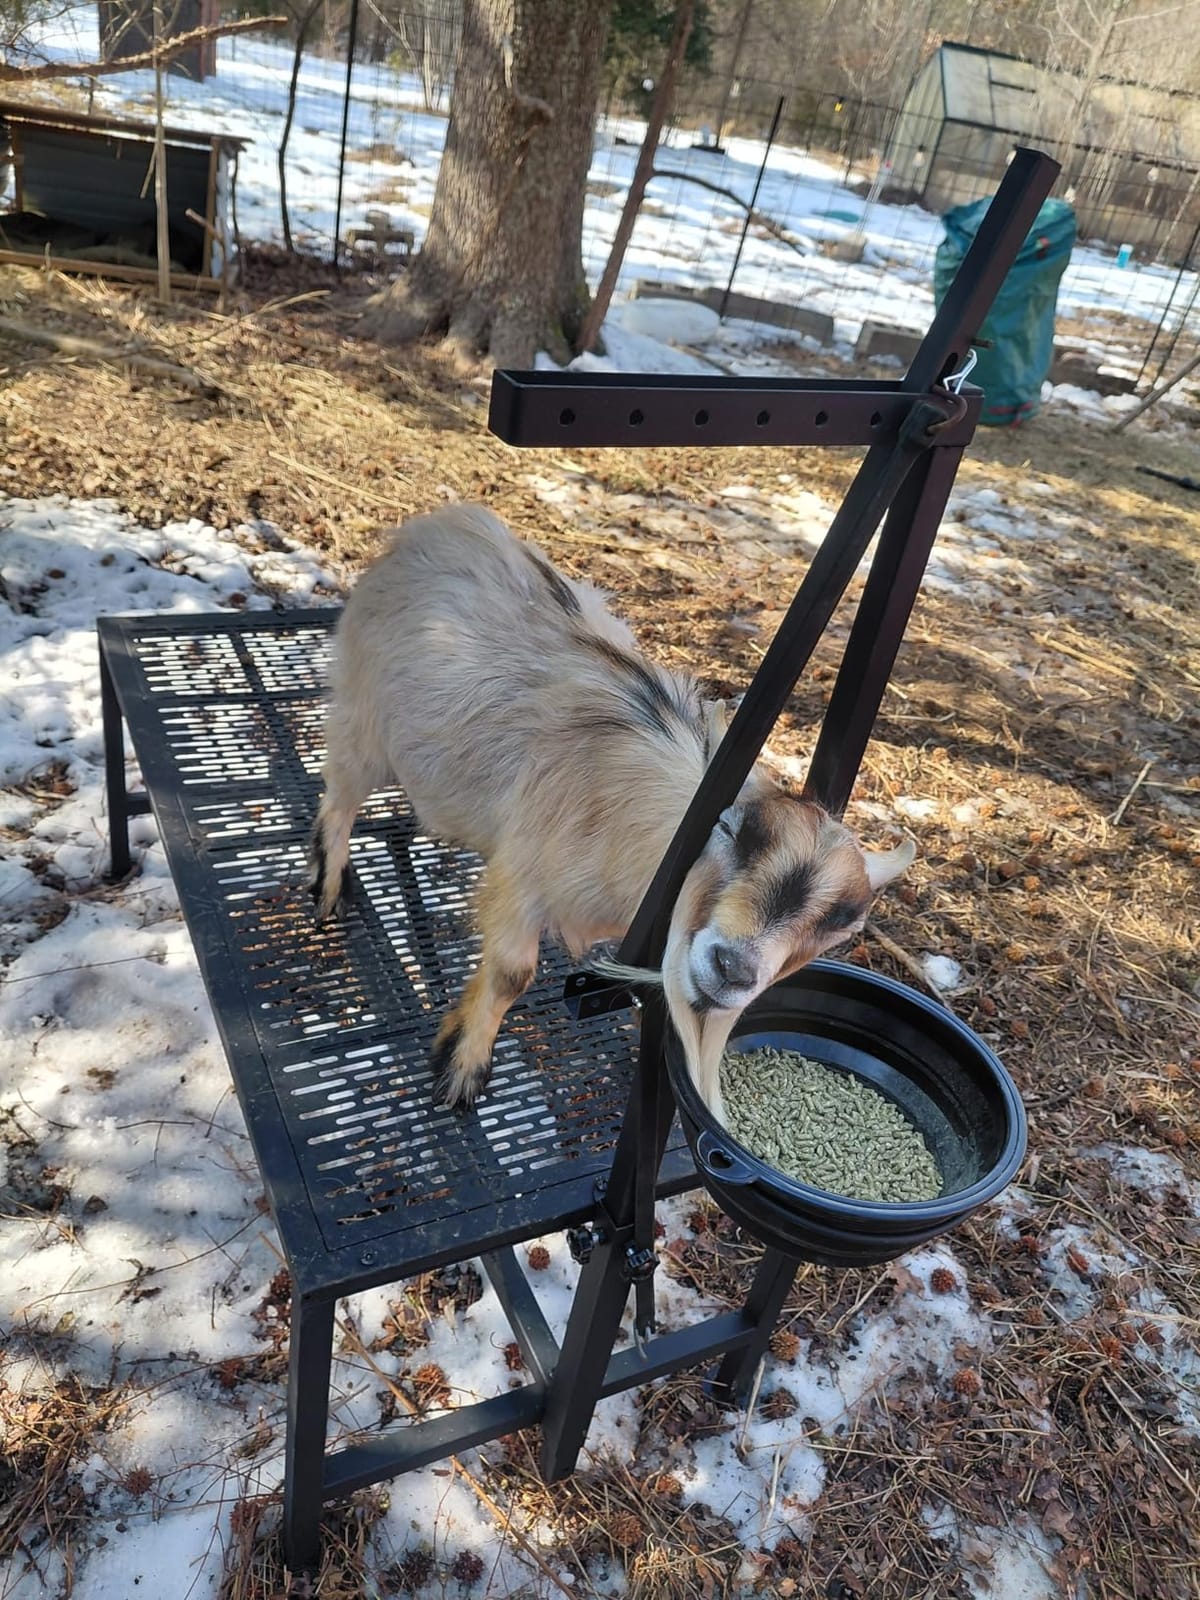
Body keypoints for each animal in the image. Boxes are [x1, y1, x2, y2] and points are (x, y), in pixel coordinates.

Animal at [310, 505, 914, 1122]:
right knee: (337, 796)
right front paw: (463, 1070)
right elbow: (511, 973)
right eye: (730, 830)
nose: (733, 969)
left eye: (845, 922)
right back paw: (328, 886)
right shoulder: (524, 876)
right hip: (365, 720)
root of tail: (438, 524)